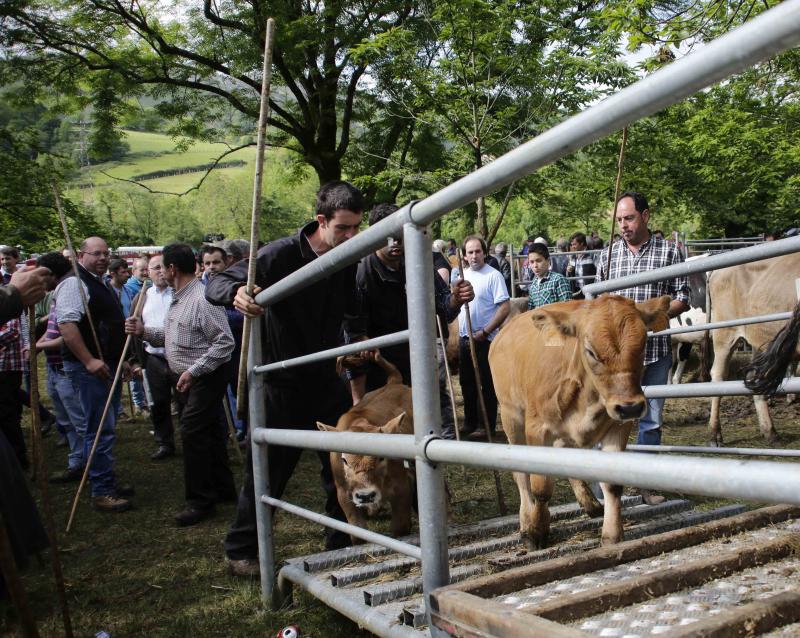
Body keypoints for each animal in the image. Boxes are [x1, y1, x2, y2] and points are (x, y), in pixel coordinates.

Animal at [488, 296, 668, 552]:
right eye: (590, 351)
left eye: (643, 344)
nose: (630, 407)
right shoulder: (537, 430)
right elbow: (541, 487)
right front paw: (536, 531)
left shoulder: (618, 428)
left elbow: (612, 484)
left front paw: (612, 536)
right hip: (511, 416)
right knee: (521, 475)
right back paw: (525, 521)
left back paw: (590, 503)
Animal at [708, 252, 800, 448]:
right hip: (724, 333)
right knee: (718, 375)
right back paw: (714, 434)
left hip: (761, 342)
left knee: (754, 377)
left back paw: (770, 432)